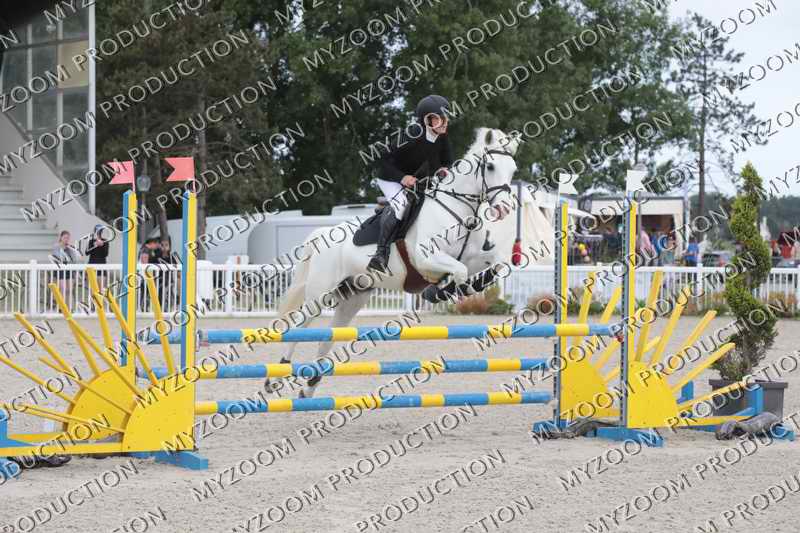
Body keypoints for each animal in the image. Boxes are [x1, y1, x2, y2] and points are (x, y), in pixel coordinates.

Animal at [269, 127, 521, 398]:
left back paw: (310, 387)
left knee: (328, 336)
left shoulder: (474, 257)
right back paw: (275, 377)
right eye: (491, 166)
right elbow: (459, 272)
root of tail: (320, 235)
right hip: (319, 295)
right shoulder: (426, 257)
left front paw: (466, 288)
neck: (457, 210)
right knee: (299, 326)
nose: (504, 208)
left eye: (513, 169)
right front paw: (437, 292)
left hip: (352, 297)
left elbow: (497, 265)